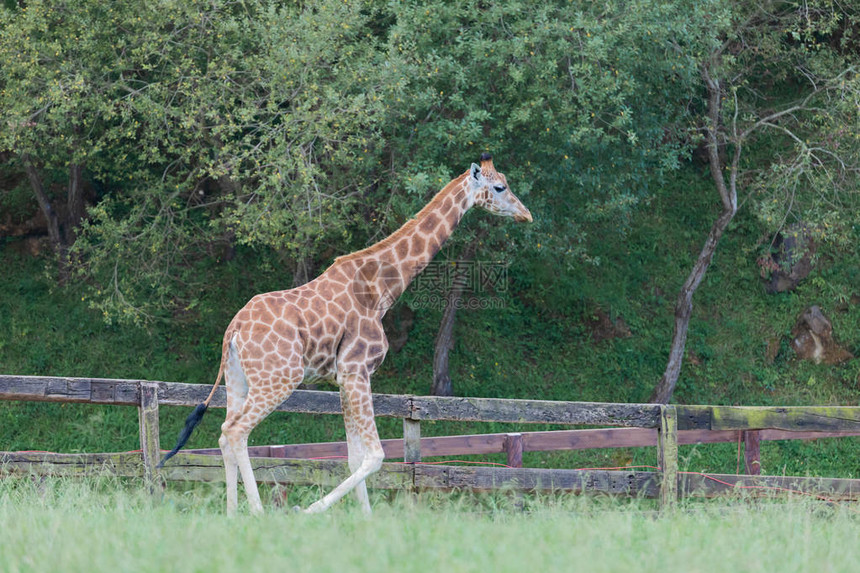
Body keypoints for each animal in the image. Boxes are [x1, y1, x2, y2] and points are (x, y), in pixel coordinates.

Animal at [156, 152, 532, 512]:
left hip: (238, 379)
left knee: (224, 434)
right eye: (500, 187)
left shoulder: (343, 378)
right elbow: (375, 455)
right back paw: (259, 514)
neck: (380, 291)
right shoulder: (357, 370)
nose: (526, 214)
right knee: (236, 432)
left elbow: (354, 458)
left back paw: (234, 515)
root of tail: (233, 330)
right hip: (279, 378)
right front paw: (306, 510)